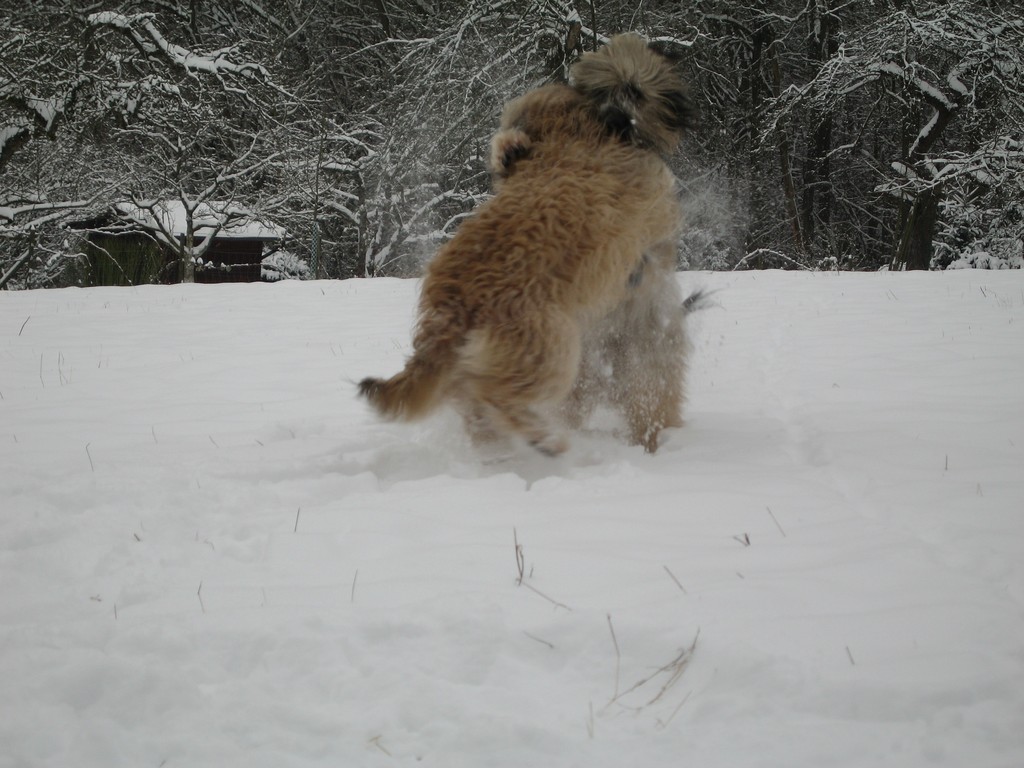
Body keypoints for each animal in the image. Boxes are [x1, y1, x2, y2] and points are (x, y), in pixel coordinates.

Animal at [360, 33, 695, 455]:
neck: (567, 141)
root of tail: (453, 307)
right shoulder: (657, 209)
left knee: (482, 403)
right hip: (552, 351)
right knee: (500, 395)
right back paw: (545, 439)